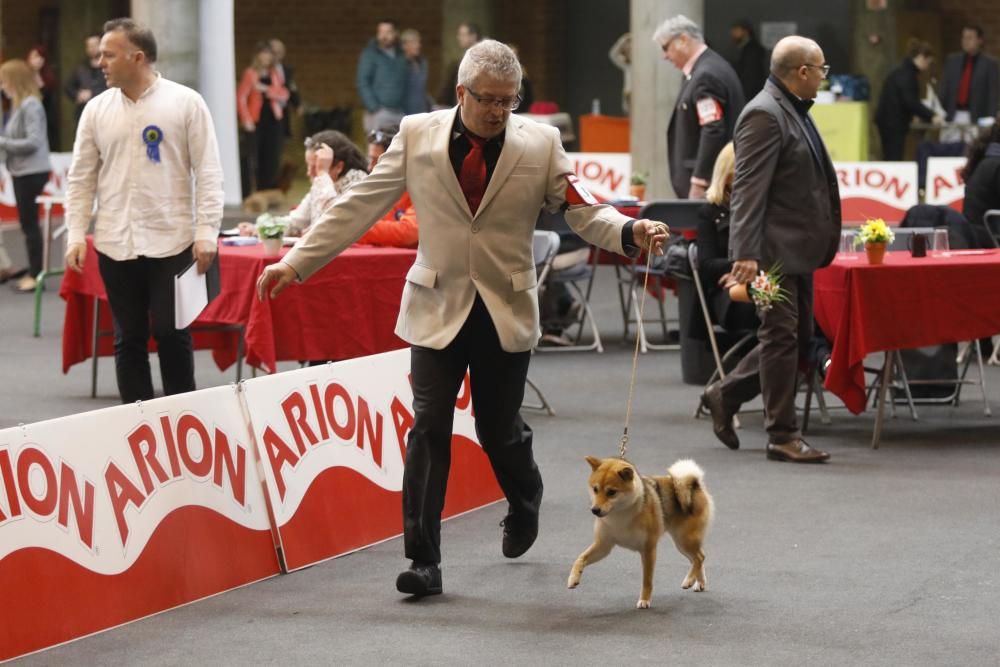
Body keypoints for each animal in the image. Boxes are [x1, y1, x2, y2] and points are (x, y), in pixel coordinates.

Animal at [568, 456, 716, 608]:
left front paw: (644, 600)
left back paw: (689, 580)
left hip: (684, 540)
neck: (620, 514)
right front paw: (573, 578)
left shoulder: (648, 549)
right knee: (698, 558)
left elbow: (647, 580)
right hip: (683, 544)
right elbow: (580, 558)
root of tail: (695, 484)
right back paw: (699, 583)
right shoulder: (603, 546)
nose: (594, 510)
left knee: (699, 558)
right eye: (595, 489)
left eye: (611, 492)